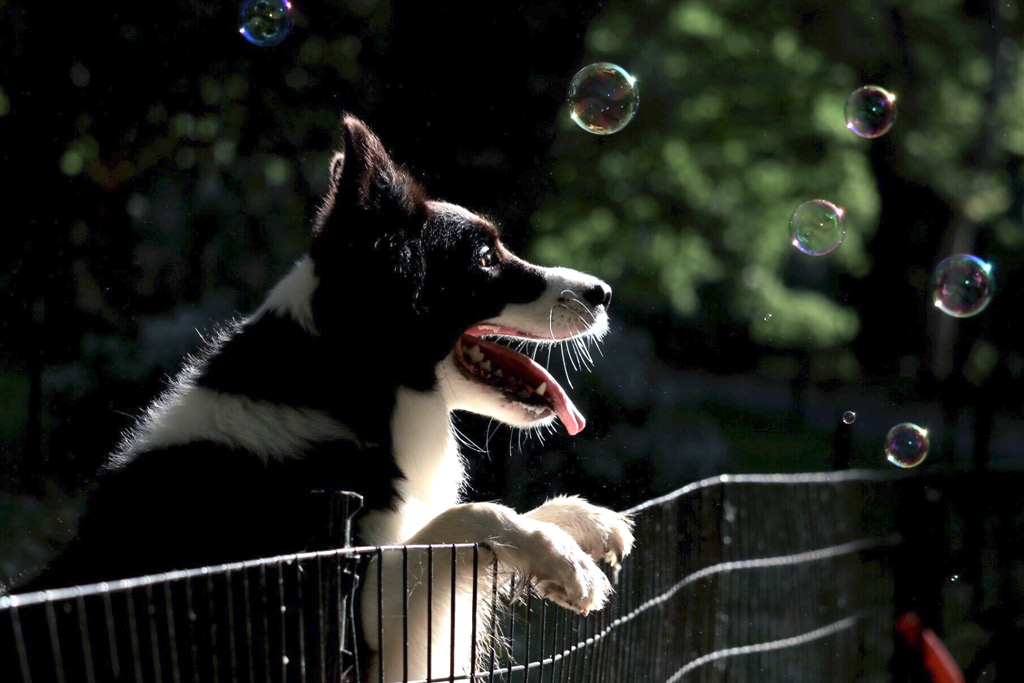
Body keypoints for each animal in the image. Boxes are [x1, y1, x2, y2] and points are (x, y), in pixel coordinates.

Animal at [16, 114, 630, 679]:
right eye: (484, 258)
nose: (604, 293)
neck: (348, 387)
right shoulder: (336, 618)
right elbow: (466, 518)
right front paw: (560, 557)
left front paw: (580, 520)